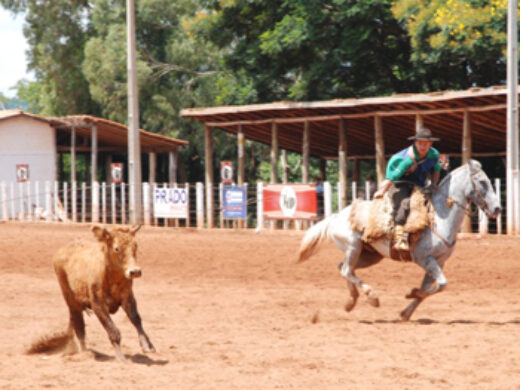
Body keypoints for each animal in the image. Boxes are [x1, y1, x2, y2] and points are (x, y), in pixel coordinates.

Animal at [298, 160, 502, 322]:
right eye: (482, 182)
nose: (497, 208)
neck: (438, 217)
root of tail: (336, 216)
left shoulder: (438, 262)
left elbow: (432, 288)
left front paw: (406, 312)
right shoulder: (424, 259)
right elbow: (441, 284)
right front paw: (411, 293)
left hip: (369, 255)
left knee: (344, 268)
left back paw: (352, 301)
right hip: (353, 248)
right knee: (347, 270)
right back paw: (371, 296)